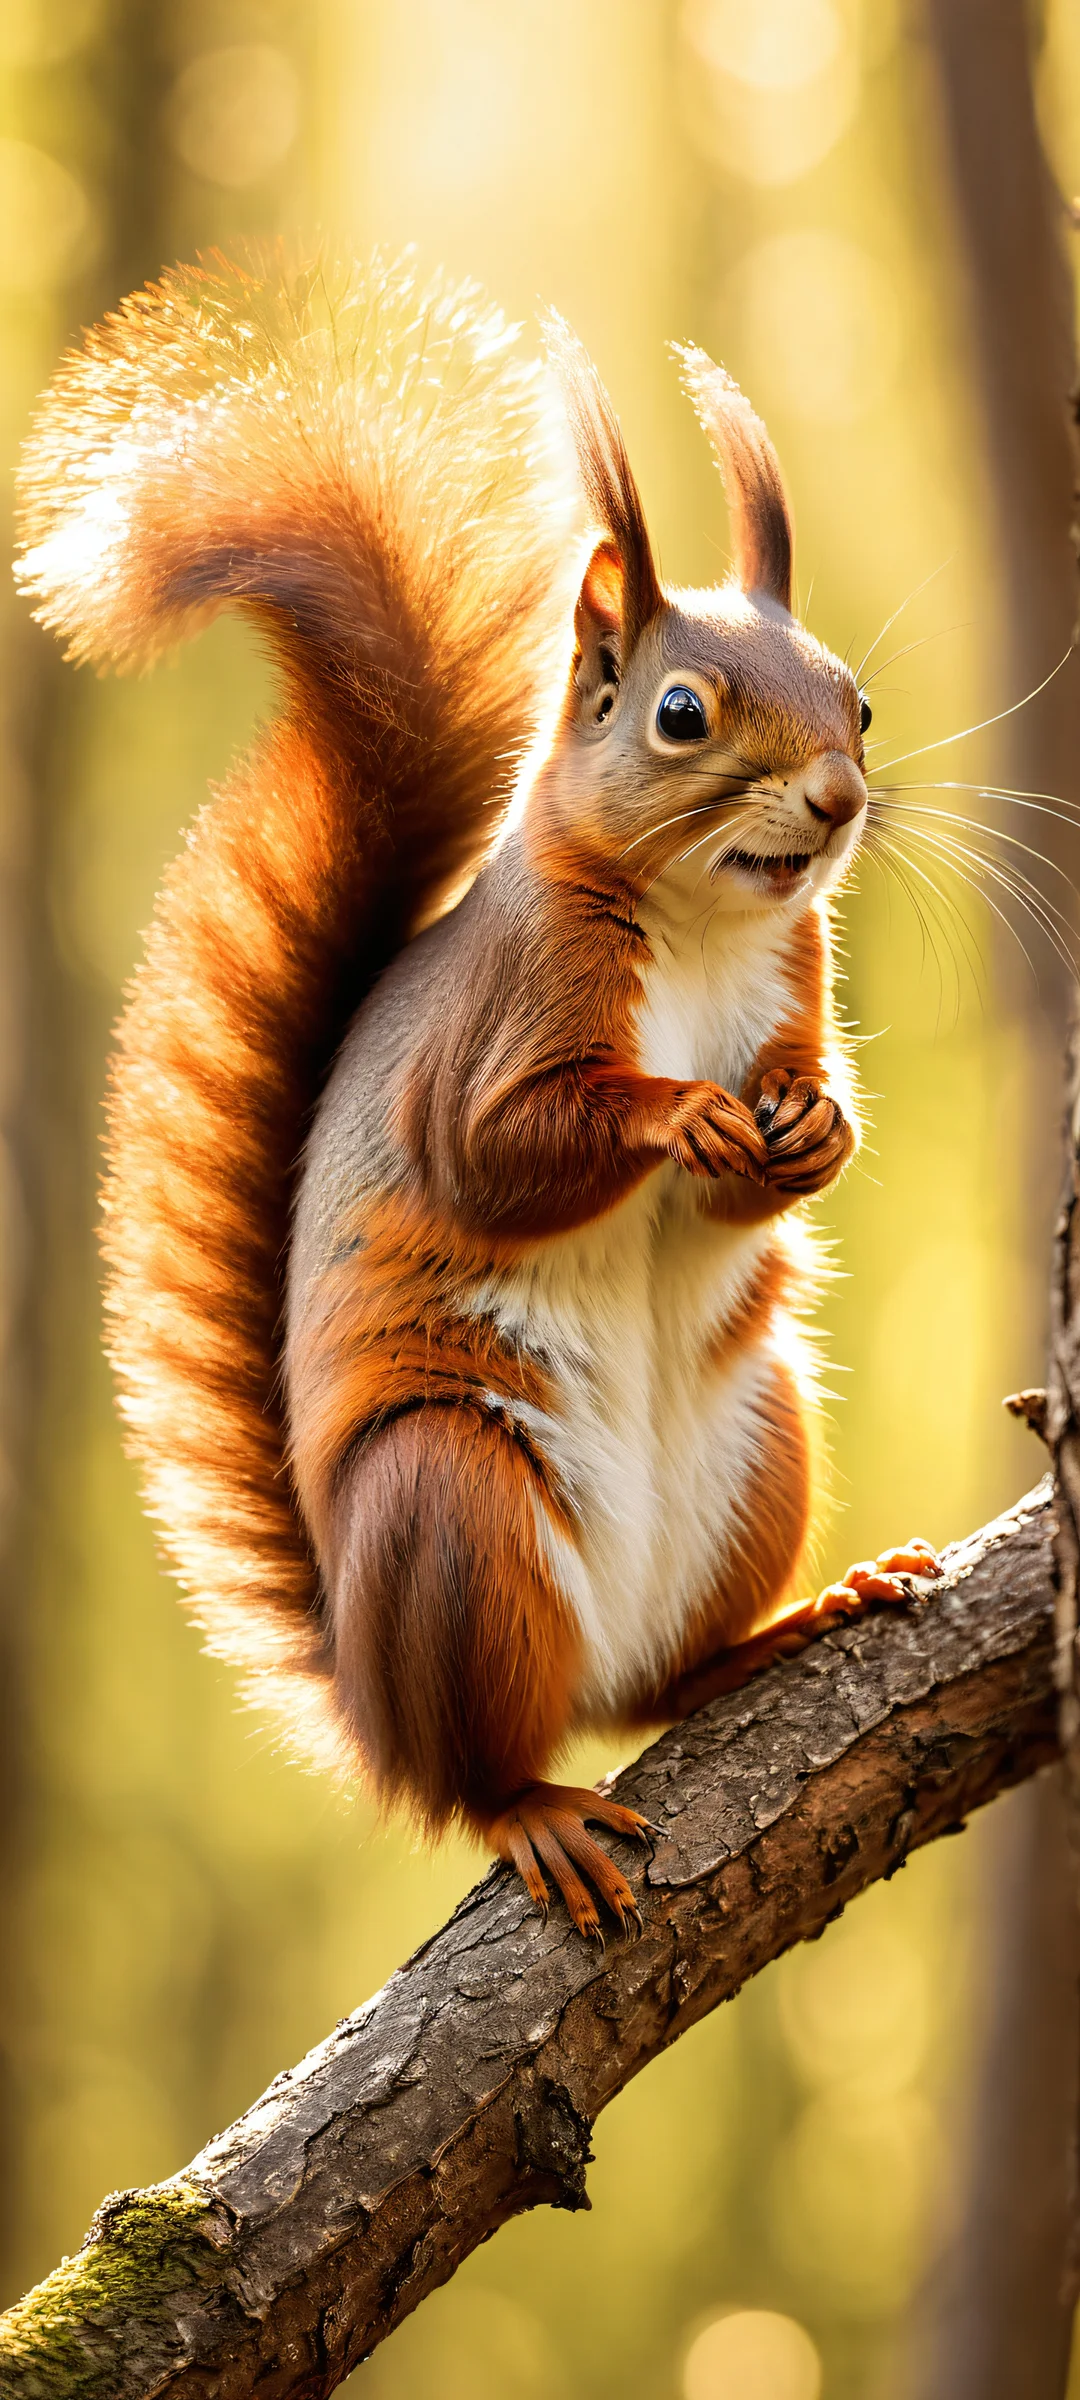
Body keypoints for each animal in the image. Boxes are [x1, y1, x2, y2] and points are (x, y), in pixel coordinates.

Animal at [16, 251, 941, 1939]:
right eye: (682, 713)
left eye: (854, 699)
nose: (841, 801)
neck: (701, 926)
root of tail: (373, 1704)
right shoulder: (505, 1022)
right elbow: (494, 1158)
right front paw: (675, 1115)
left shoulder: (794, 978)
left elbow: (784, 1124)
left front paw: (812, 1128)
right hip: (454, 1513)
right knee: (477, 1776)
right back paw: (533, 1808)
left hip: (760, 1442)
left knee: (667, 1684)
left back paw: (785, 1627)